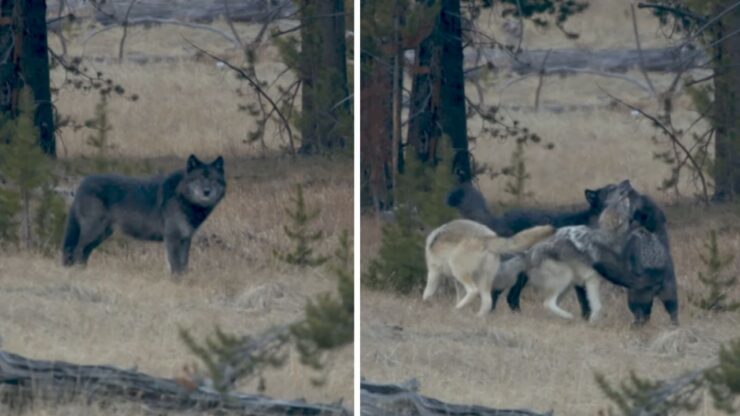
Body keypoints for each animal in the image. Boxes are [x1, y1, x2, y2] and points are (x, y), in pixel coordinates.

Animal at [61, 154, 225, 274]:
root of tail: (81, 184)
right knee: (77, 250)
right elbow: (176, 266)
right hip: (95, 232)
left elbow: (184, 265)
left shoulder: (185, 239)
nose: (206, 192)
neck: (181, 197)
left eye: (213, 180)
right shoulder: (172, 238)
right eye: (199, 179)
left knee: (83, 253)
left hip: (102, 234)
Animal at [422, 221, 556, 316]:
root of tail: (487, 238)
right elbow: (458, 296)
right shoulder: (456, 283)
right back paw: (476, 316)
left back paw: (457, 309)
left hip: (459, 270)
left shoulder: (434, 272)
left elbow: (427, 293)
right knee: (487, 302)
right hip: (483, 281)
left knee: (473, 291)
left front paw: (424, 304)